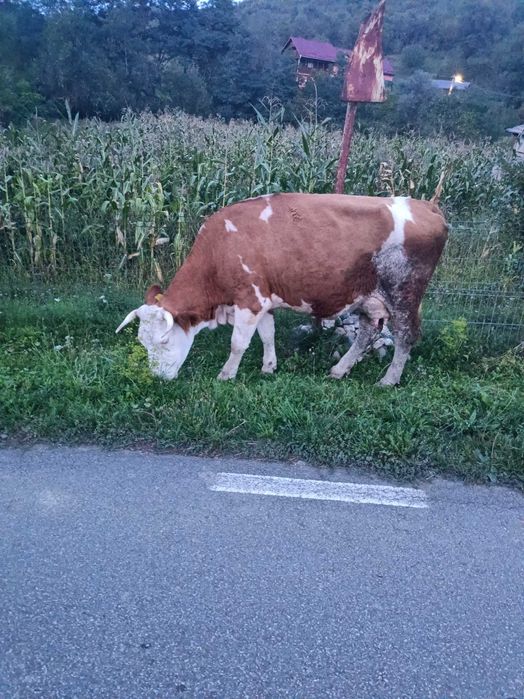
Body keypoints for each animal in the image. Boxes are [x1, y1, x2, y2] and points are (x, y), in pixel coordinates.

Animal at [116, 193, 448, 385]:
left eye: (162, 342)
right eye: (143, 342)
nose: (158, 378)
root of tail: (426, 206)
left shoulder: (249, 299)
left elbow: (238, 343)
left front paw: (226, 374)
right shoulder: (263, 298)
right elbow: (267, 334)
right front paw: (269, 366)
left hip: (404, 292)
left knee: (405, 336)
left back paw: (388, 380)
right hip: (369, 297)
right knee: (367, 332)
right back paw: (339, 369)